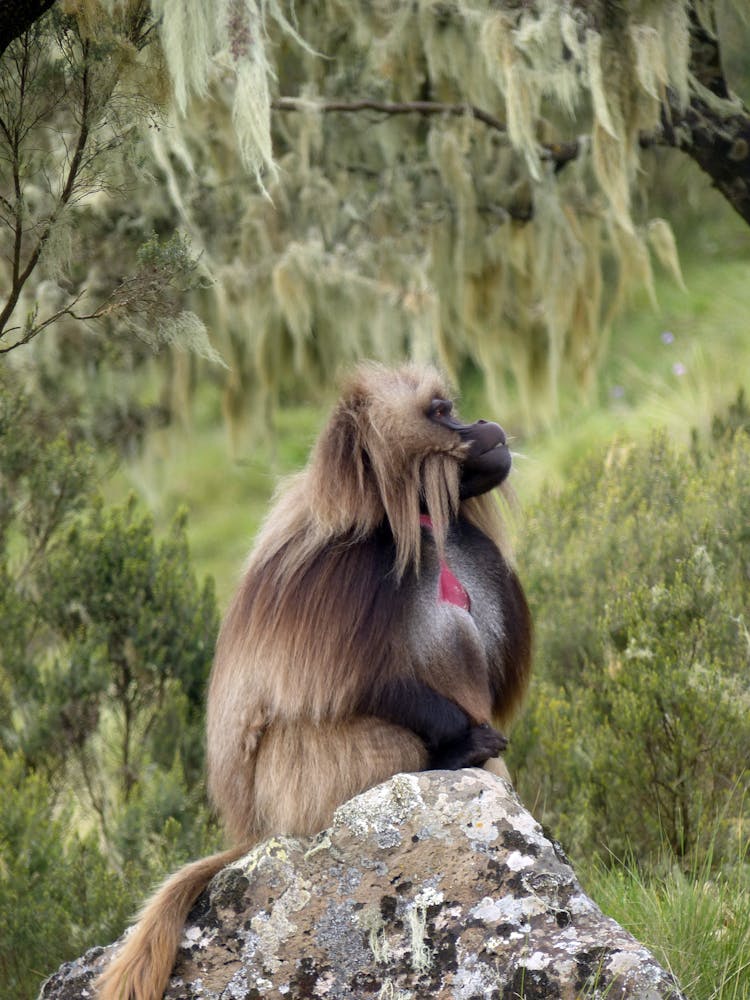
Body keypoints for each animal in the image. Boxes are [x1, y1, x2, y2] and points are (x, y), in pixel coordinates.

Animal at [97, 366, 532, 1000]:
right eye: (441, 413)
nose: (485, 425)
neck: (406, 518)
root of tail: (258, 833)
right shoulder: (342, 568)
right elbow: (334, 687)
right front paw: (467, 740)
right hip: (309, 786)